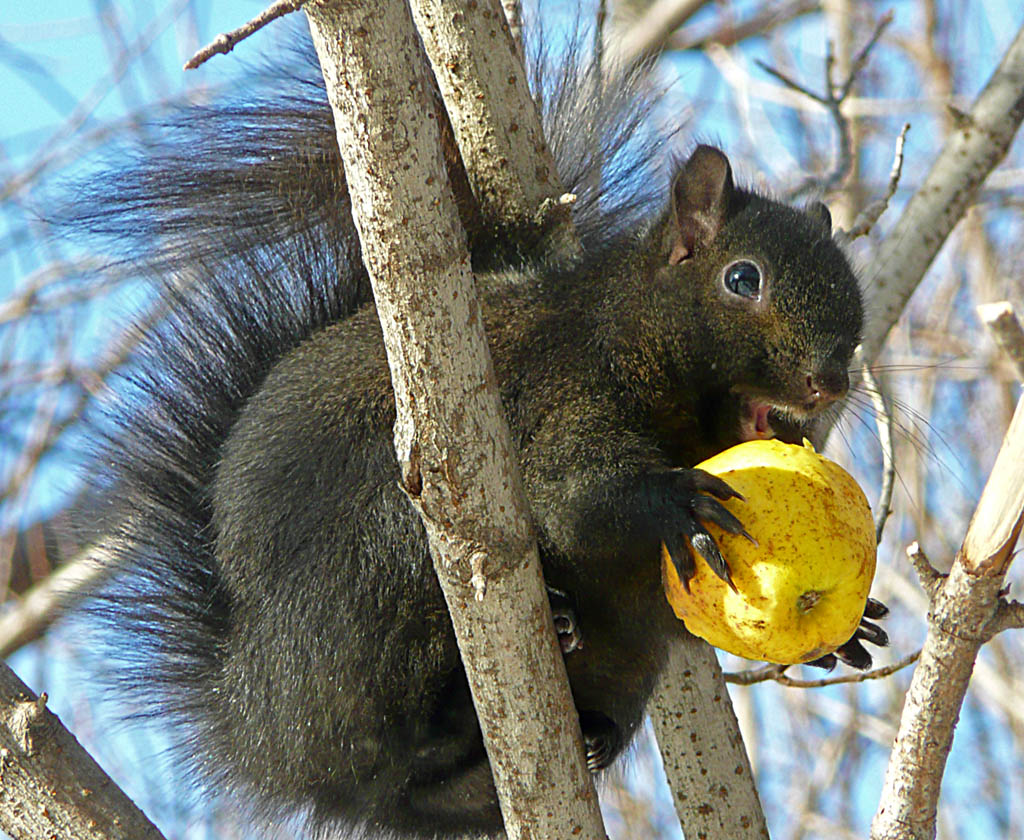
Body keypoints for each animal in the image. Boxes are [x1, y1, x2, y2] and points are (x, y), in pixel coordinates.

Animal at [70, 26, 888, 840]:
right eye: (743, 279)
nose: (831, 380)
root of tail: (256, 719)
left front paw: (853, 632)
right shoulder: (567, 386)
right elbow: (570, 493)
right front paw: (674, 501)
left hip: (625, 664)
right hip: (382, 565)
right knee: (396, 747)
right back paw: (531, 639)